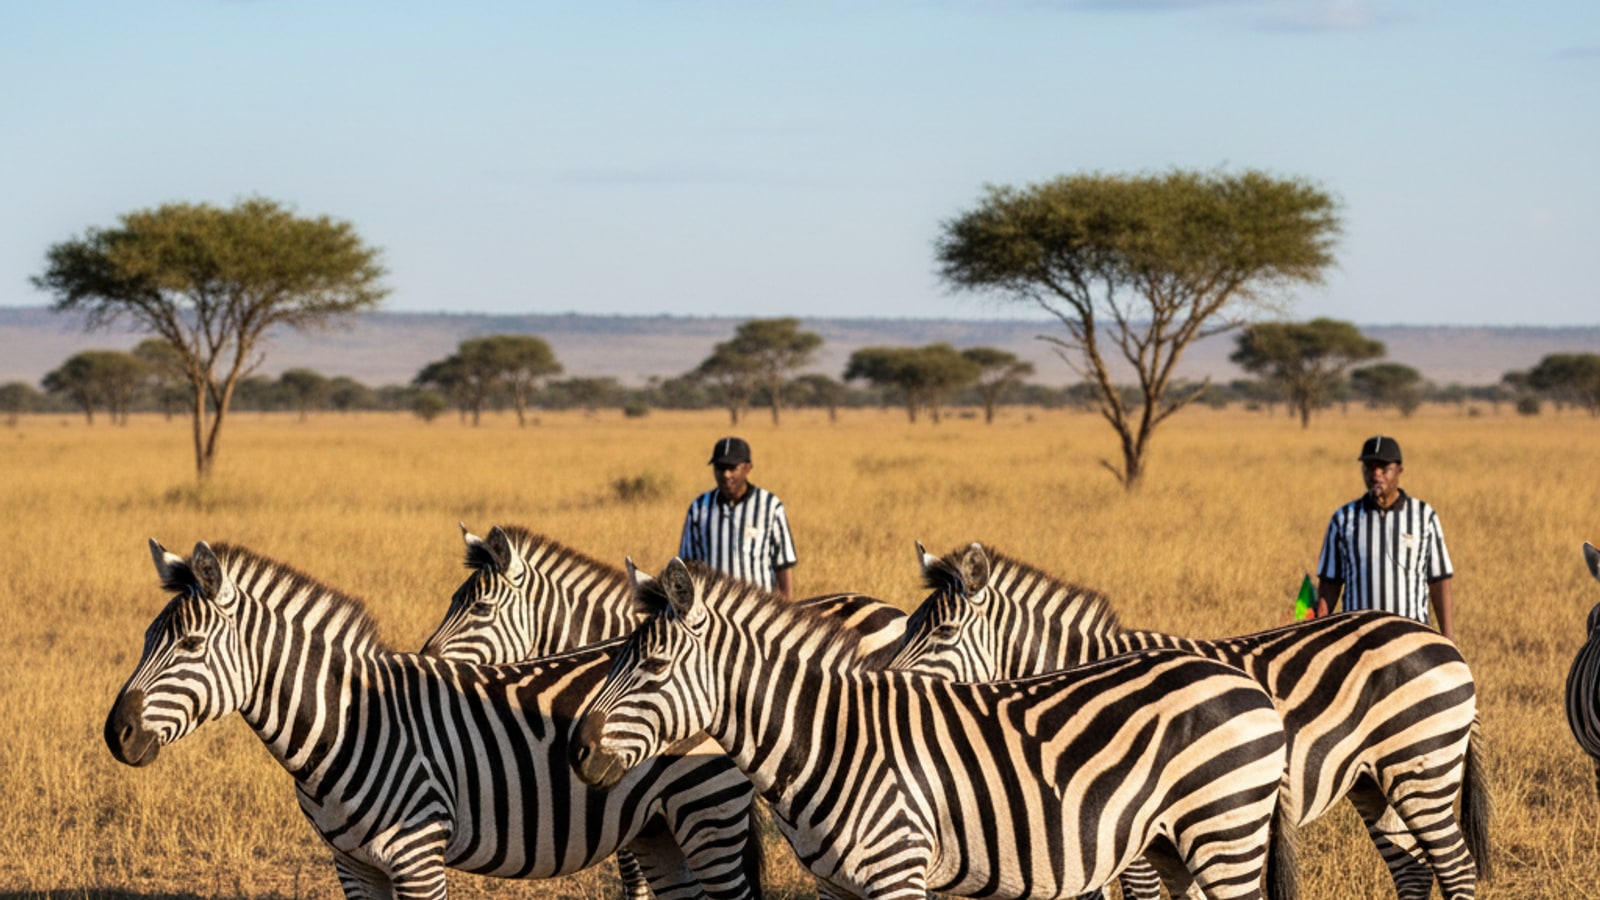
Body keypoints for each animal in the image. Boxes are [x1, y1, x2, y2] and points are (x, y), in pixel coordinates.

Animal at [104, 539, 765, 900]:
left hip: (708, 812)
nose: (116, 734)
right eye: (146, 639)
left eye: (190, 645)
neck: (347, 727)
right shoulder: (352, 865)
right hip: (658, 827)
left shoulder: (416, 855)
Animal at [571, 557, 1300, 900]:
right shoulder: (837, 886)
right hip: (1177, 844)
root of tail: (1246, 684)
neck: (830, 740)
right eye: (613, 655)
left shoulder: (898, 871)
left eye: (653, 665)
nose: (577, 749)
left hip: (1225, 829)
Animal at [891, 541, 1490, 900]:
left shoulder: (1129, 827)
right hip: (1375, 782)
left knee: (1454, 865)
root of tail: (1439, 639)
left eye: (942, 633)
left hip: (1422, 768)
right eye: (910, 627)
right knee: (1413, 869)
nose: (882, 679)